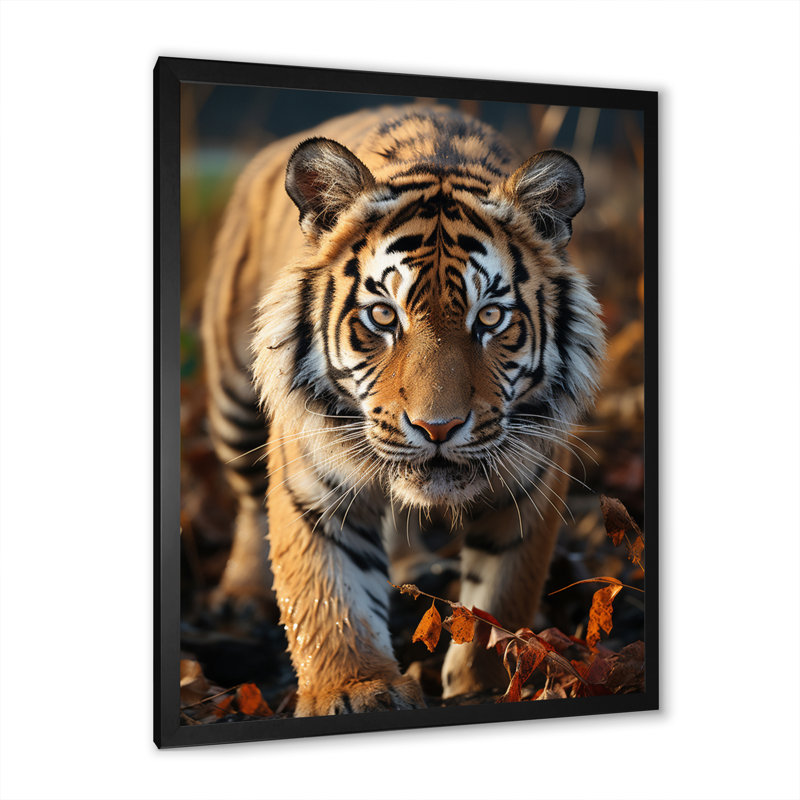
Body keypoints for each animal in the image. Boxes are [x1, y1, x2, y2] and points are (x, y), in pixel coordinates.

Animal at [201, 105, 605, 716]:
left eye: (490, 318)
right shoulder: (313, 484)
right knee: (249, 504)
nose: (437, 428)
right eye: (383, 316)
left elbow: (504, 594)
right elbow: (329, 597)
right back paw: (242, 597)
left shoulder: (530, 482)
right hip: (233, 397)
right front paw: (354, 689)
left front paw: (485, 685)